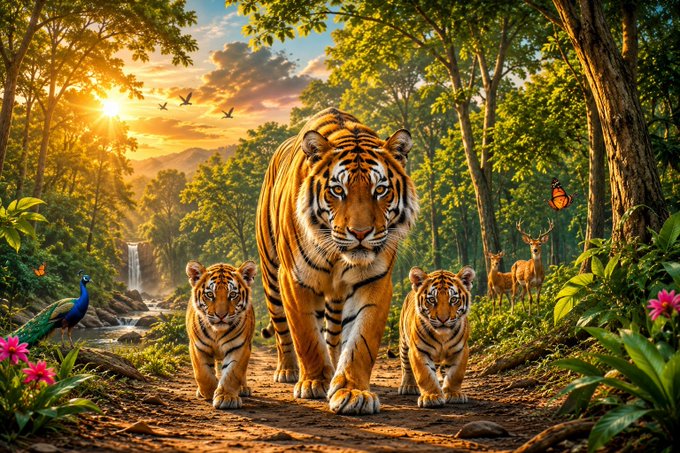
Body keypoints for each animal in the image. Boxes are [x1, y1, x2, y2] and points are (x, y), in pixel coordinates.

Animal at [185, 260, 257, 410]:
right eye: (210, 295)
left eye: (233, 294)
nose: (221, 315)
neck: (217, 332)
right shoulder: (197, 347)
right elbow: (203, 373)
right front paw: (209, 392)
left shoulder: (239, 347)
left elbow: (232, 373)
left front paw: (226, 397)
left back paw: (243, 388)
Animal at [256, 107, 419, 415]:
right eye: (338, 190)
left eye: (380, 190)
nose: (361, 233)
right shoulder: (294, 279)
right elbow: (306, 335)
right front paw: (313, 383)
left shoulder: (375, 281)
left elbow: (360, 341)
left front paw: (352, 391)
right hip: (271, 274)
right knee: (282, 327)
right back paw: (288, 371)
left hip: (334, 298)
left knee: (332, 335)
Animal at [398, 266, 475, 408]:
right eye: (432, 300)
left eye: (453, 299)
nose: (443, 319)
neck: (442, 337)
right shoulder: (418, 351)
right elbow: (425, 375)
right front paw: (431, 397)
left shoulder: (461, 350)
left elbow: (456, 374)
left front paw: (454, 394)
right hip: (404, 343)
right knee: (406, 365)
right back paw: (408, 386)